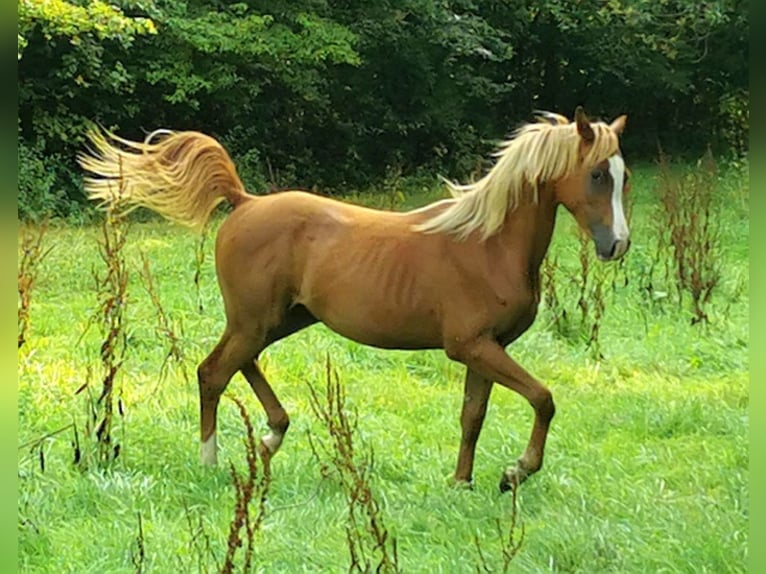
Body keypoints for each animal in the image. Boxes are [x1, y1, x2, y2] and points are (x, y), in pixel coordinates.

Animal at [81, 109, 632, 496]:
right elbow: (543, 398)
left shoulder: (486, 348)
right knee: (213, 372)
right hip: (256, 320)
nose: (617, 245)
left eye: (623, 177)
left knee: (239, 363)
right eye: (597, 175)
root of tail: (245, 201)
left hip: (279, 319)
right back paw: (211, 461)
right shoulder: (472, 345)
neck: (488, 243)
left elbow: (472, 417)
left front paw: (462, 483)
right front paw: (515, 472)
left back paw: (272, 435)